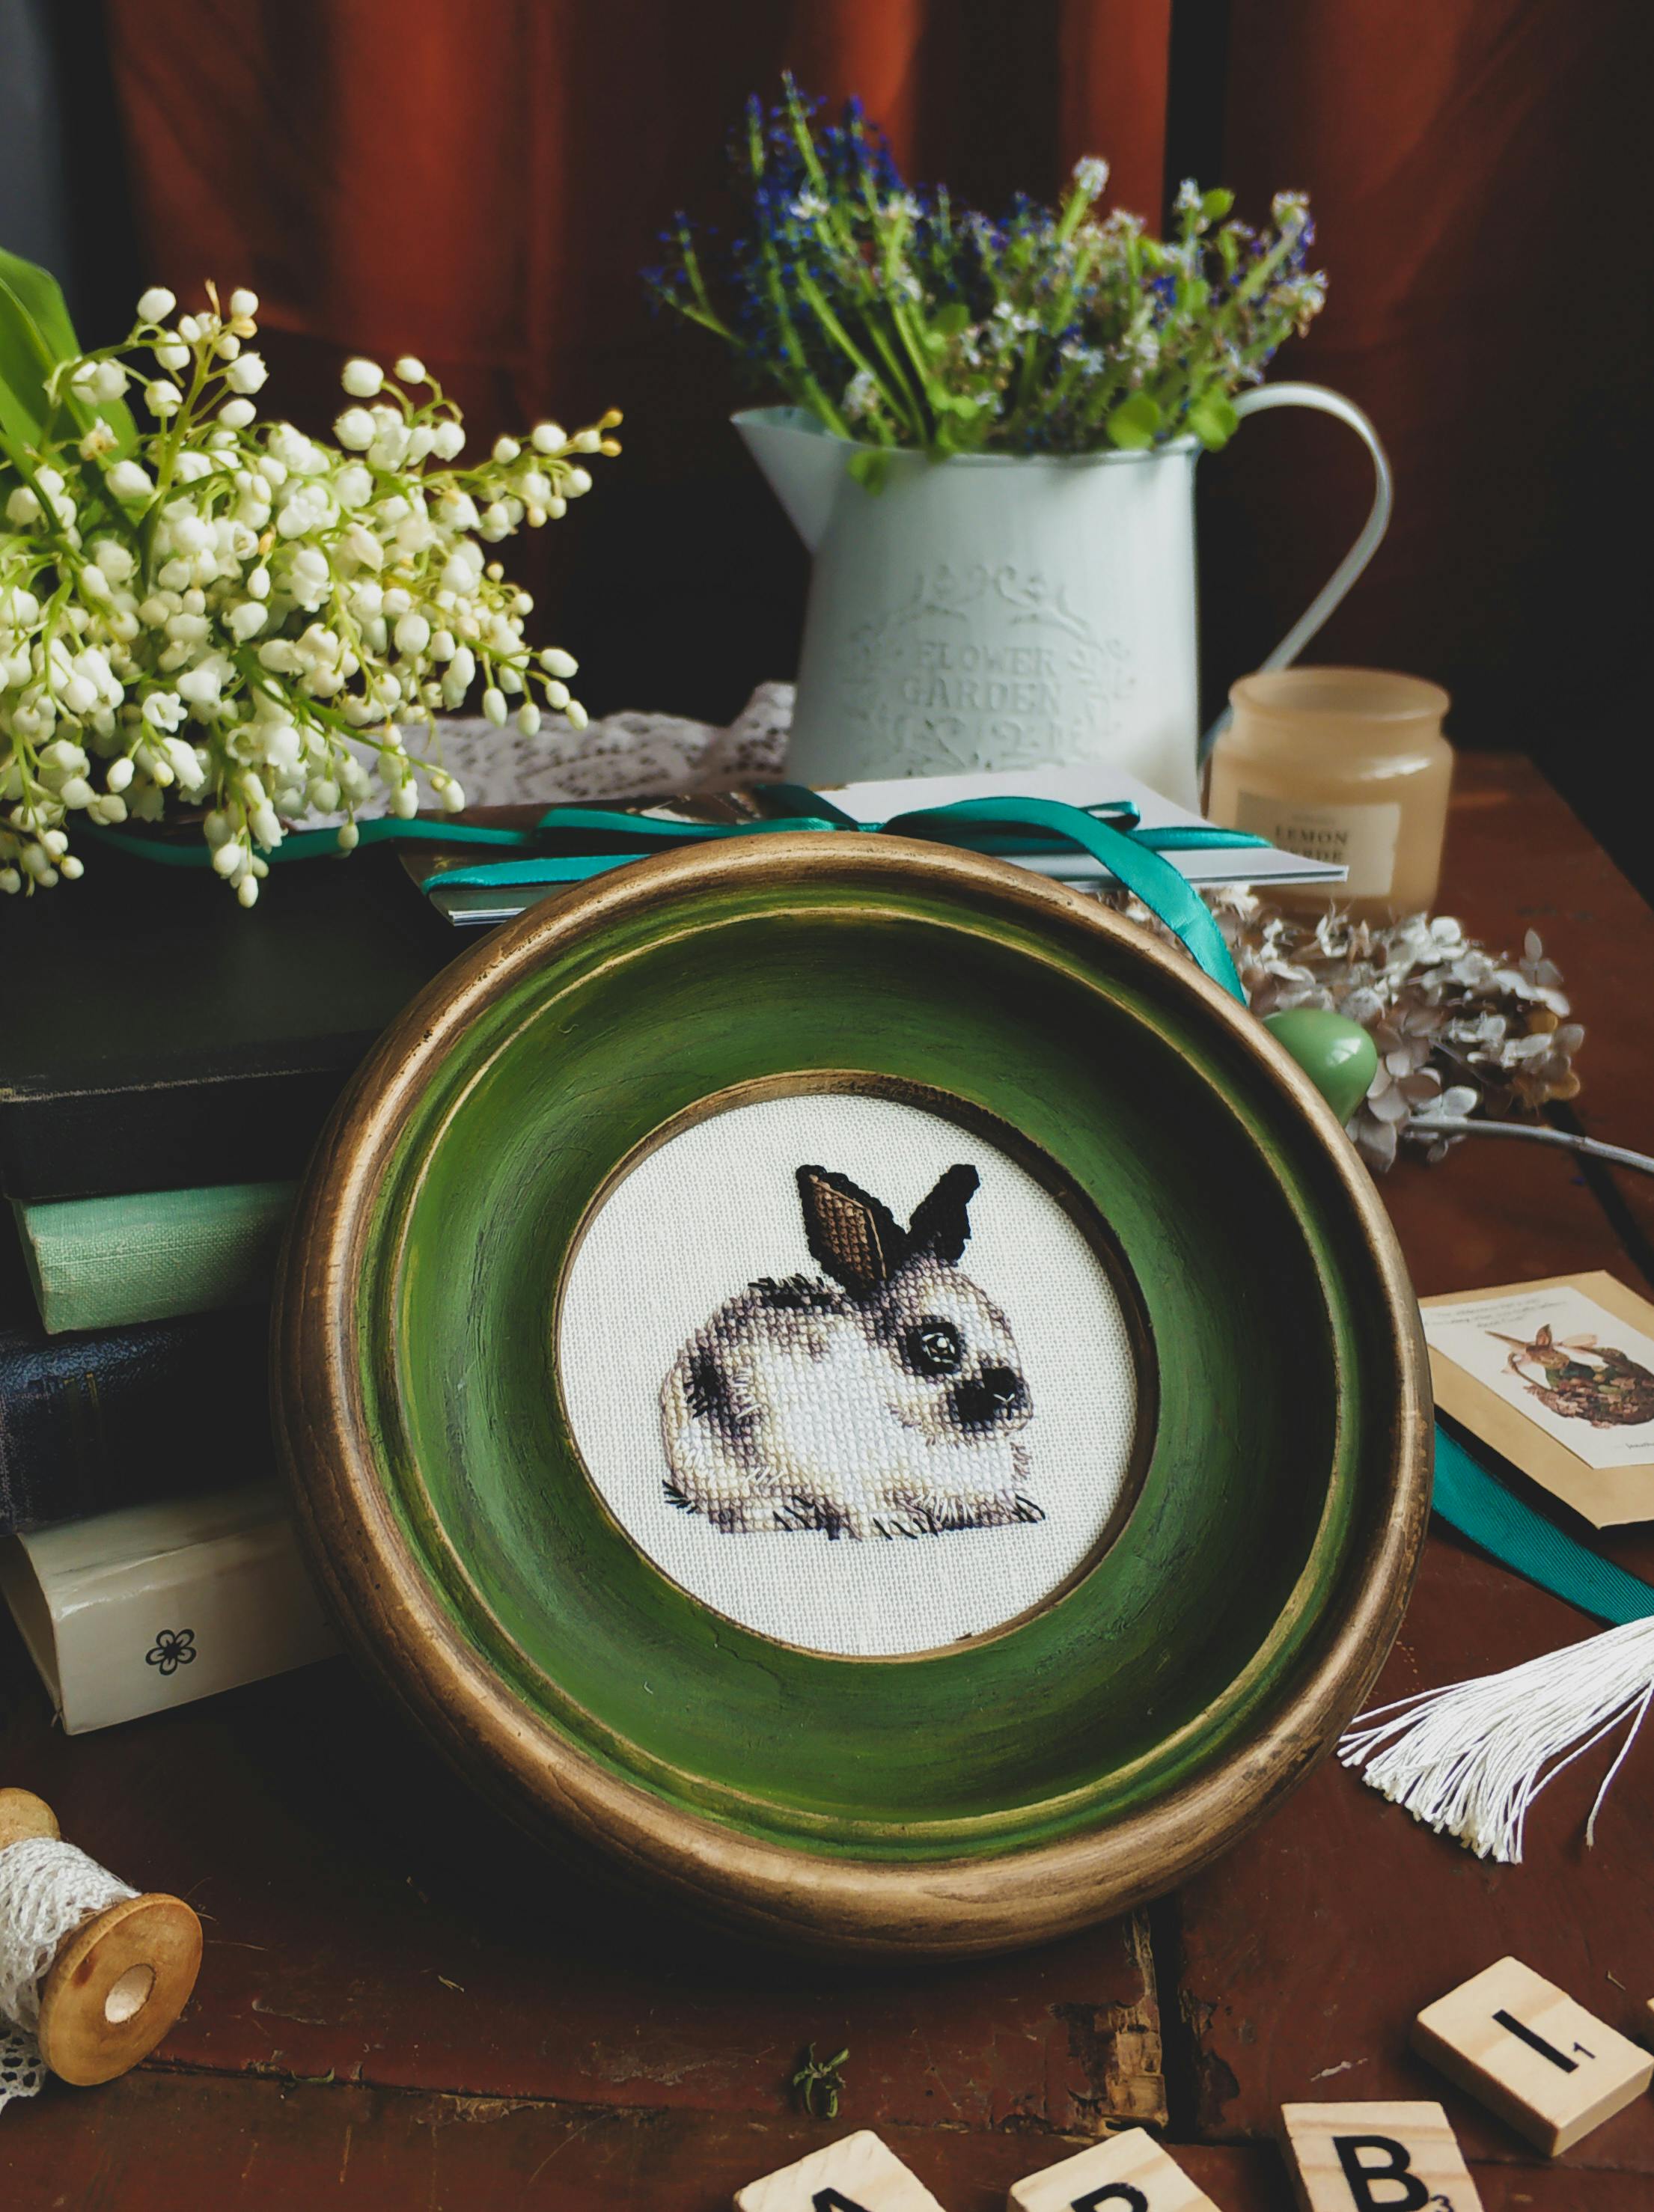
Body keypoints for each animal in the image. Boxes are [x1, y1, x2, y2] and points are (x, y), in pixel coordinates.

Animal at [654, 1158, 1034, 1539]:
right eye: (938, 1343)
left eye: (1001, 1318)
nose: (1010, 1397)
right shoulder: (822, 1463)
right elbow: (858, 1503)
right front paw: (897, 1521)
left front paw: (1020, 1511)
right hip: (707, 1458)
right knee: (731, 1509)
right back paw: (787, 1513)